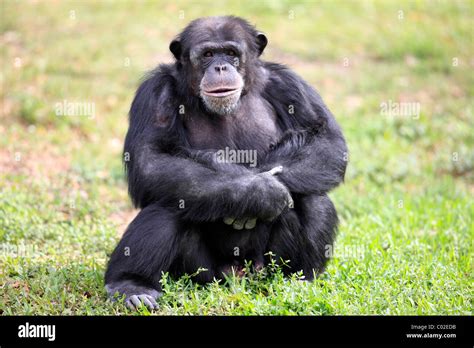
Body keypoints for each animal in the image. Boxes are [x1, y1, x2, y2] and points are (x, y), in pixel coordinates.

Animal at [105, 15, 346, 310]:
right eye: (208, 54)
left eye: (231, 53)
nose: (220, 66)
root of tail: (237, 275)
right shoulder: (156, 91)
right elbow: (151, 158)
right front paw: (259, 192)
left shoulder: (290, 84)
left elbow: (327, 141)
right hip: (202, 274)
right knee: (170, 202)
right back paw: (131, 284)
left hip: (265, 268)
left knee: (312, 198)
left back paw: (301, 279)